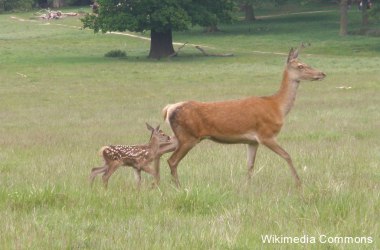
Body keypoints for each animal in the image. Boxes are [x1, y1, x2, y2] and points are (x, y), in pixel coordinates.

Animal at [162, 47, 326, 188]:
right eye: (300, 66)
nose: (322, 73)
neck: (277, 106)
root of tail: (169, 108)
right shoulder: (266, 135)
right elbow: (287, 155)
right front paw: (299, 183)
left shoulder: (252, 141)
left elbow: (250, 165)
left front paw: (247, 186)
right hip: (188, 136)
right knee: (172, 160)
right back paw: (178, 186)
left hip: (179, 136)